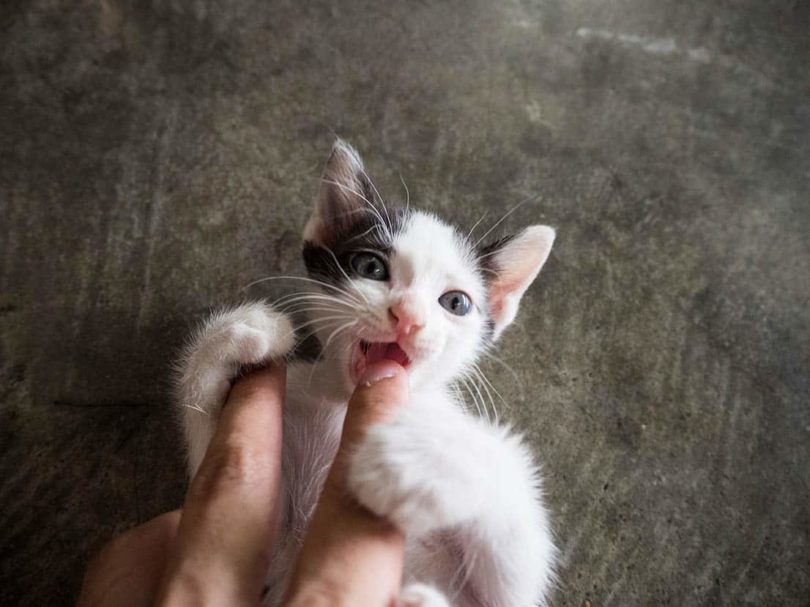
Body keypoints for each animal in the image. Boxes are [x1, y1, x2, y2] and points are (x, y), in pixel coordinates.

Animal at [174, 142, 556, 607]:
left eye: (456, 303)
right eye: (371, 268)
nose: (408, 317)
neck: (344, 399)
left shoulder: (506, 593)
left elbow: (514, 570)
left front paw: (419, 457)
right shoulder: (273, 537)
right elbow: (214, 463)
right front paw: (241, 331)